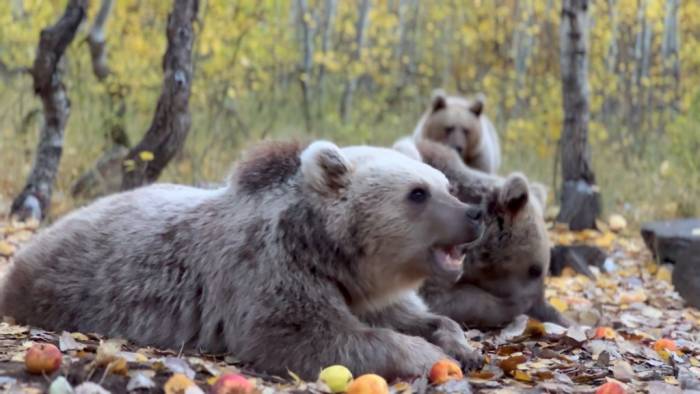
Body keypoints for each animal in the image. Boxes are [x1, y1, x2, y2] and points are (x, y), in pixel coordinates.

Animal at [0, 140, 486, 380]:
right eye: (417, 193)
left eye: (446, 185)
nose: (475, 214)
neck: (330, 253)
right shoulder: (267, 269)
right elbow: (306, 335)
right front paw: (426, 356)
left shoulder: (364, 291)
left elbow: (417, 316)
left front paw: (462, 348)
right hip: (67, 284)